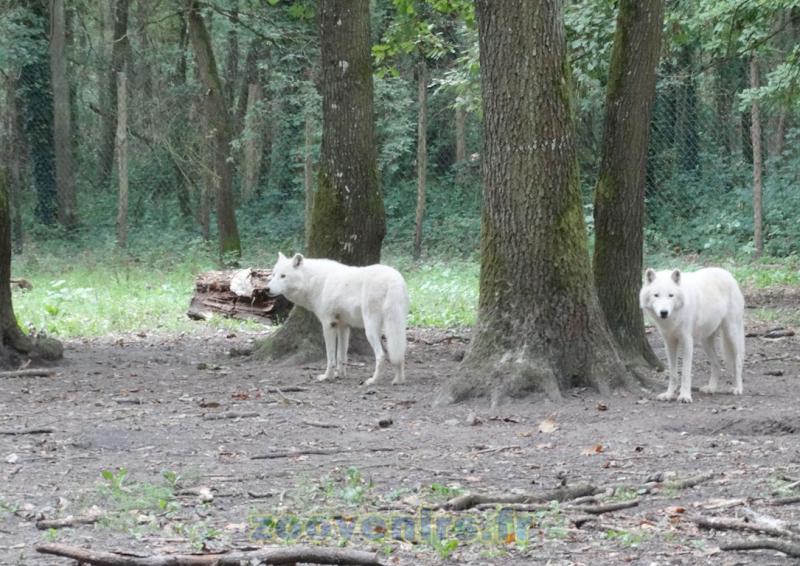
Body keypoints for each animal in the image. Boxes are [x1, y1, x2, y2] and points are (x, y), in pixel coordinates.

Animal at [265, 253, 409, 386]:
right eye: (273, 274)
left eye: (283, 276)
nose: (267, 289)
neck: (315, 282)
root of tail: (394, 279)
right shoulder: (343, 327)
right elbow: (341, 355)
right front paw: (341, 375)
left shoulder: (328, 324)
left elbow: (330, 357)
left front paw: (327, 377)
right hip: (396, 326)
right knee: (399, 352)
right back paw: (398, 380)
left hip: (370, 329)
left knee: (381, 355)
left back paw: (373, 380)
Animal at [639, 267, 745, 403]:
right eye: (656, 295)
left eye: (671, 295)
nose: (663, 312)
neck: (673, 318)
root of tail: (728, 274)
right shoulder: (669, 342)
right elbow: (673, 373)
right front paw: (669, 394)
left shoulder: (687, 341)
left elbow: (685, 372)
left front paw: (685, 396)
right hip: (705, 341)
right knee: (716, 364)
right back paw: (711, 388)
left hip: (731, 333)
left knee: (738, 360)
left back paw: (738, 388)